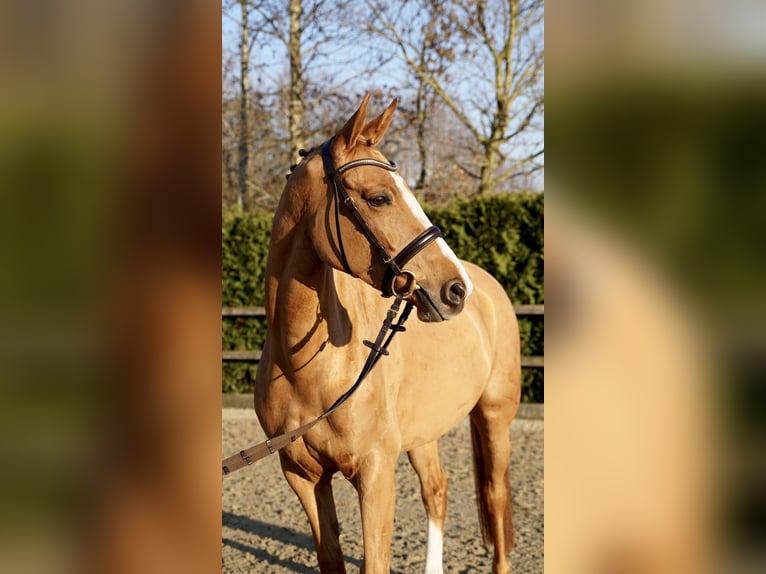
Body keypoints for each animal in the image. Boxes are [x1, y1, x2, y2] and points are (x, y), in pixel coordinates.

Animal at [254, 94, 522, 574]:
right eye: (379, 198)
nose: (455, 290)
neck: (309, 367)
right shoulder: (302, 476)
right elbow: (331, 558)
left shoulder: (375, 474)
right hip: (425, 431)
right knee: (437, 490)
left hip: (494, 420)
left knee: (495, 499)